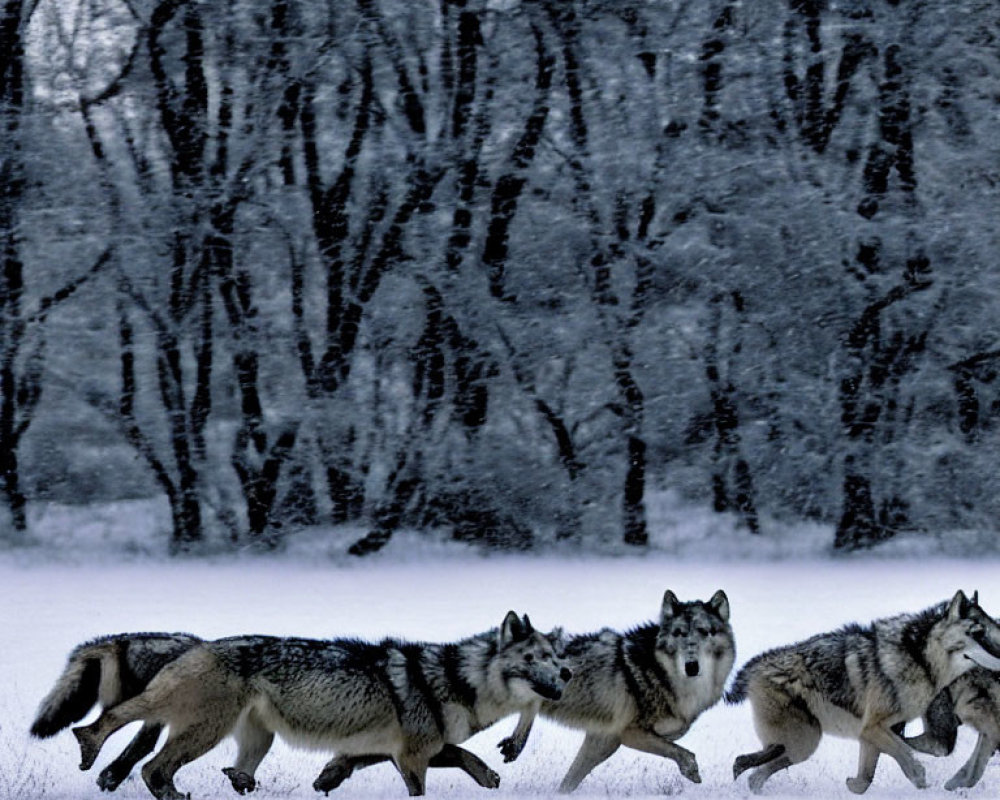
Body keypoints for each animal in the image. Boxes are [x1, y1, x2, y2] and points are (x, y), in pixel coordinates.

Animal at [70, 616, 572, 796]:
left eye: (555, 657)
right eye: (534, 660)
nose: (567, 675)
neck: (453, 681)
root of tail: (198, 644)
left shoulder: (394, 748)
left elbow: (467, 757)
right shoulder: (412, 755)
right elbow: (437, 776)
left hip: (254, 737)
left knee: (224, 770)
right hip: (207, 732)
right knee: (150, 765)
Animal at [496, 592, 732, 792]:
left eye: (704, 632)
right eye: (678, 633)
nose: (691, 666)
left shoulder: (604, 740)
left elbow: (568, 782)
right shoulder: (630, 734)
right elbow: (686, 754)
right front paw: (692, 773)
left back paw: (513, 746)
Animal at [728, 588, 1000, 792]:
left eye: (992, 631)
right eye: (978, 634)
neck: (920, 658)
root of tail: (755, 666)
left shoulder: (872, 733)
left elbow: (865, 780)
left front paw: (852, 784)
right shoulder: (872, 728)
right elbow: (914, 767)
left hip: (800, 746)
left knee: (753, 771)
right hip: (805, 742)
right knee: (753, 766)